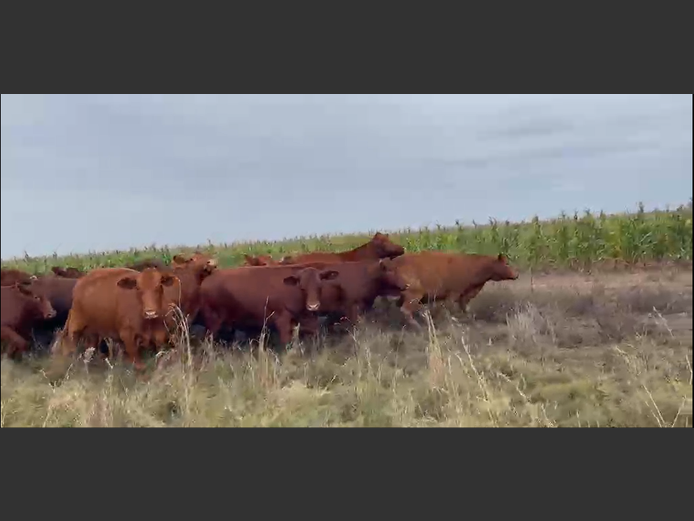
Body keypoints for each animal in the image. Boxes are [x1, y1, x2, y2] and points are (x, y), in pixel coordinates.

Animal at [199, 265, 340, 346]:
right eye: (302, 287)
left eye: (320, 286)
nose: (313, 306)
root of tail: (207, 280)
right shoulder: (282, 320)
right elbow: (286, 343)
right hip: (213, 318)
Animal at [385, 252, 519, 327]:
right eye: (506, 263)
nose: (516, 274)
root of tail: (392, 263)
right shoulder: (454, 293)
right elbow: (448, 308)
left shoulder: (464, 295)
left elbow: (465, 308)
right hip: (414, 294)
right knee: (407, 309)